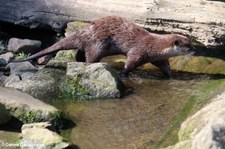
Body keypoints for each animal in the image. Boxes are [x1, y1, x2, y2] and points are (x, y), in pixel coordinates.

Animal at [12, 16, 195, 76]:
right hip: (98, 45)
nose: (195, 50)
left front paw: (171, 76)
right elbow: (130, 63)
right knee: (90, 57)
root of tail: (84, 31)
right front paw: (123, 74)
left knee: (80, 54)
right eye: (188, 46)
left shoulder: (158, 58)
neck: (154, 46)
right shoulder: (139, 51)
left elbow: (165, 67)